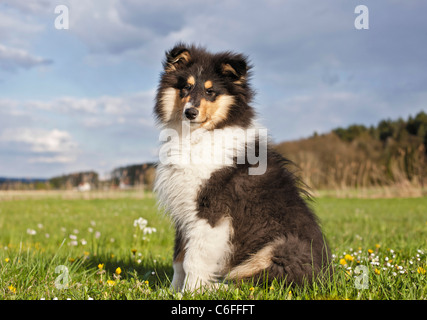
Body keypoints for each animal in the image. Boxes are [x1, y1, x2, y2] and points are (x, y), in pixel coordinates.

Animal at [152, 43, 332, 292]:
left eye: (210, 91)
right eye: (186, 87)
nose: (190, 113)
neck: (199, 135)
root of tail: (327, 278)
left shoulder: (211, 211)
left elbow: (193, 259)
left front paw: (190, 293)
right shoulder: (184, 210)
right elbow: (179, 257)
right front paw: (171, 291)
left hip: (282, 247)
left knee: (252, 282)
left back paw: (215, 289)